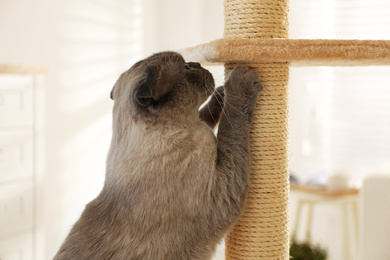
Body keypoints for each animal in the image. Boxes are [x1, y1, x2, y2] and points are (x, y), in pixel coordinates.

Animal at [52, 51, 262, 260]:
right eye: (186, 68)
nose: (196, 63)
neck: (187, 126)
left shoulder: (200, 125)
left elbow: (207, 115)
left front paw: (221, 95)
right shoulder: (222, 189)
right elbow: (231, 125)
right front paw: (237, 84)